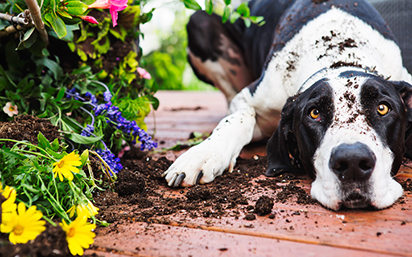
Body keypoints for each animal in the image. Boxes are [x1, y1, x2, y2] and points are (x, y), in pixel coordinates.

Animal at [162, 0, 412, 210]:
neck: (341, 54)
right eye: (314, 113)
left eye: (383, 108)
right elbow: (237, 120)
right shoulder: (248, 98)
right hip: (199, 22)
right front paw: (203, 154)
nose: (352, 162)